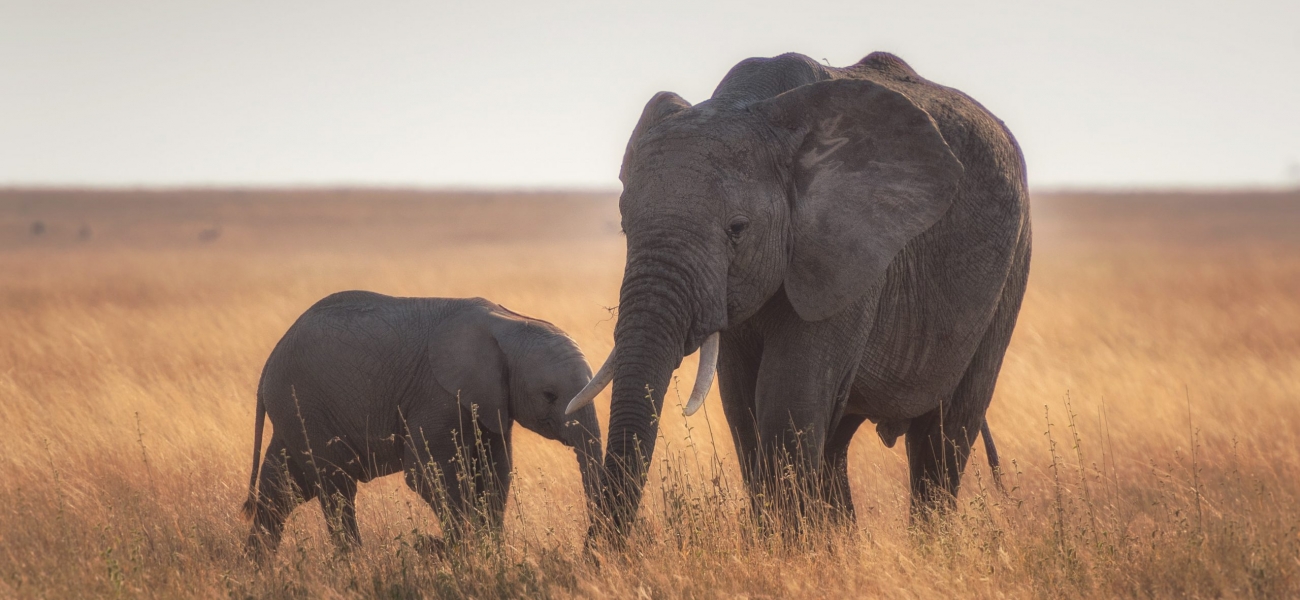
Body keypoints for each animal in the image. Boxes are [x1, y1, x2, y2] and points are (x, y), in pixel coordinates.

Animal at [241, 291, 603, 554]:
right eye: (549, 395)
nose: (590, 547)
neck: (510, 322)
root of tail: (268, 363)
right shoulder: (436, 396)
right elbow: (428, 474)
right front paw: (460, 553)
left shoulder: (491, 402)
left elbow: (494, 474)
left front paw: (489, 553)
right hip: (304, 405)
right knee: (335, 487)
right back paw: (356, 565)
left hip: (295, 412)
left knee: (282, 490)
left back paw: (259, 569)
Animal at [567, 51, 1031, 533]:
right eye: (624, 226)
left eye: (737, 229)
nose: (601, 550)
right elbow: (743, 407)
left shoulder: (848, 252)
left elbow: (787, 402)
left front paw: (788, 545)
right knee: (837, 443)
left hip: (1012, 266)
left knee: (943, 436)